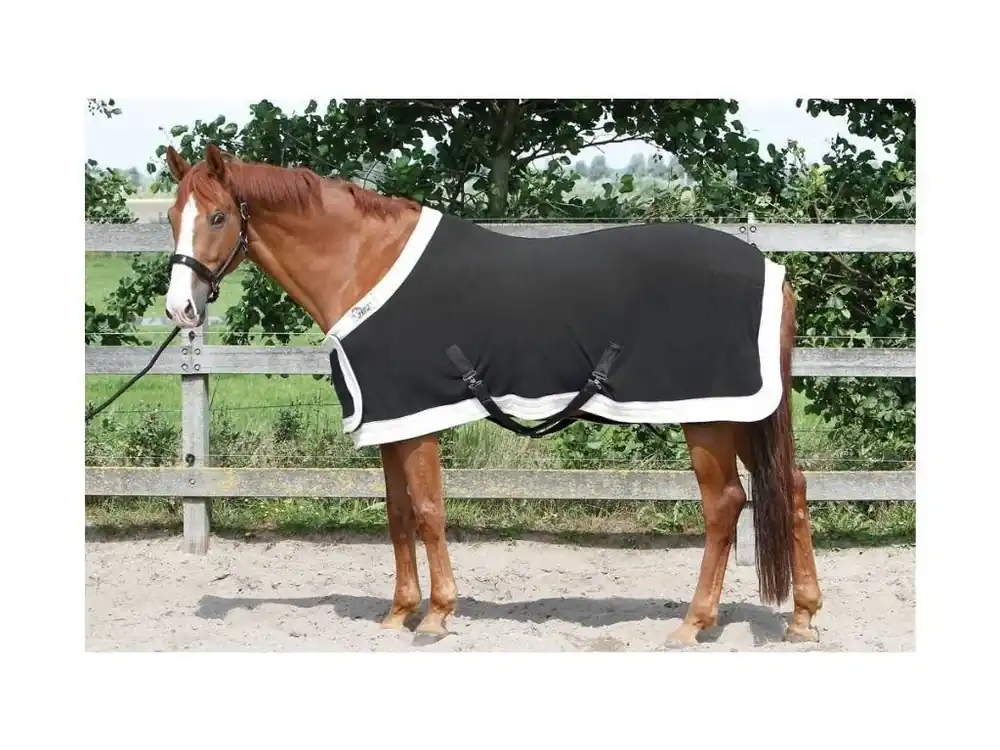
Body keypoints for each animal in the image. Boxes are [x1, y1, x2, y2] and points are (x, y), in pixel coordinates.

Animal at [161, 143, 823, 646]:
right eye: (171, 216)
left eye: (217, 217)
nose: (180, 310)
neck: (365, 263)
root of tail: (771, 270)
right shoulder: (393, 422)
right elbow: (398, 515)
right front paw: (399, 613)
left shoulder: (418, 419)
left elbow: (429, 511)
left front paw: (437, 616)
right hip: (743, 414)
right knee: (790, 488)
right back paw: (803, 618)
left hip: (708, 419)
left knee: (724, 506)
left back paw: (694, 623)